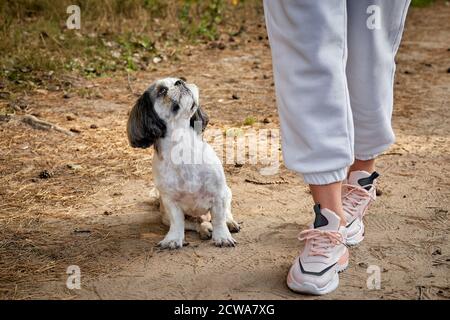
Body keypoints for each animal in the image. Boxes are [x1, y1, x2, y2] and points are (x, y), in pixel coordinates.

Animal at [126, 78, 239, 250]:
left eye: (182, 79)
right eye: (162, 90)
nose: (180, 82)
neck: (182, 145)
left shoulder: (218, 194)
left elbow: (219, 218)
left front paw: (222, 237)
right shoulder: (170, 202)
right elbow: (178, 223)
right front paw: (173, 239)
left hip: (227, 193)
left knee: (225, 213)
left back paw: (229, 223)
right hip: (165, 215)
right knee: (194, 222)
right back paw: (205, 228)